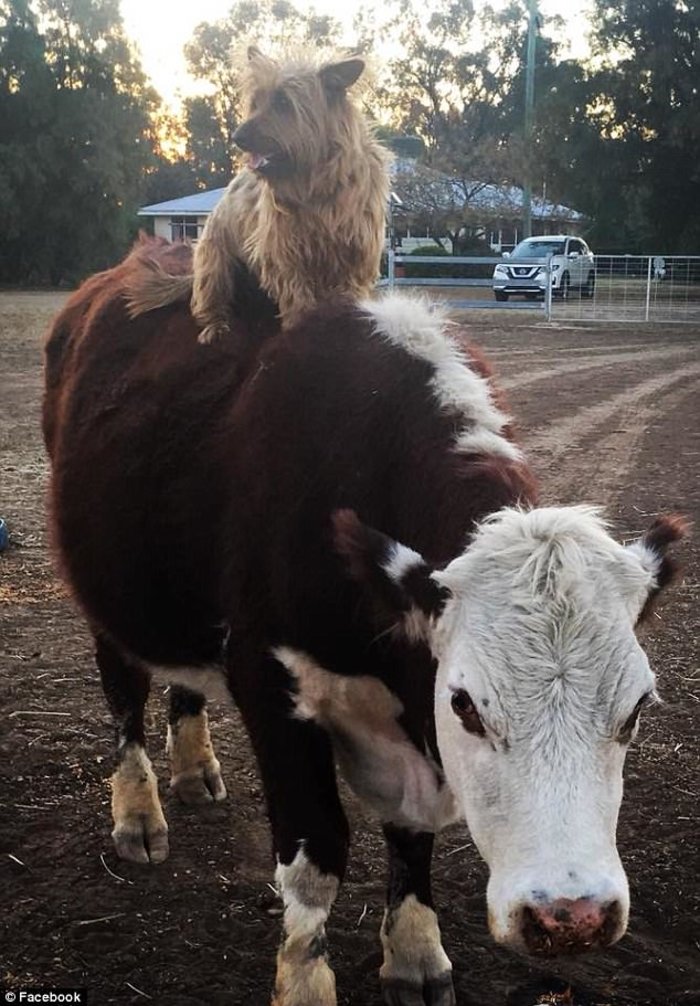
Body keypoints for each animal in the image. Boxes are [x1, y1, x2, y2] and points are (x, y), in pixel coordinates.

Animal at [42, 241, 683, 1006]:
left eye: (637, 708)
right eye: (465, 705)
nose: (572, 916)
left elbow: (410, 838)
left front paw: (415, 953)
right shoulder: (269, 684)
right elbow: (315, 856)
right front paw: (305, 982)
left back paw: (196, 770)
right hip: (107, 593)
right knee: (123, 692)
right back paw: (138, 814)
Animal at [128, 47, 390, 344]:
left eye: (284, 102)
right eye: (255, 102)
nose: (237, 137)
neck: (315, 185)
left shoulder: (354, 258)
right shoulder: (285, 255)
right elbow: (298, 301)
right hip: (213, 262)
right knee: (210, 301)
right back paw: (215, 327)